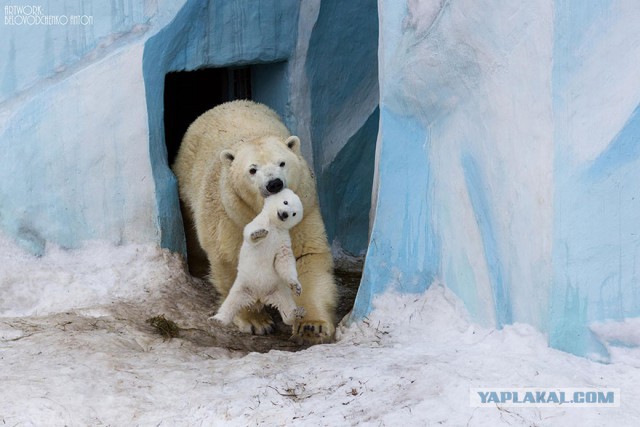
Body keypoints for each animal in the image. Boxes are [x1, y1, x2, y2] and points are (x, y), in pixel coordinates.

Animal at [172, 100, 338, 344]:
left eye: (282, 163)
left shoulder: (304, 211)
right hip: (187, 182)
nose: (274, 183)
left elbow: (305, 256)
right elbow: (232, 260)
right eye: (252, 169)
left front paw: (312, 326)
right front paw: (255, 321)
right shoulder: (231, 217)